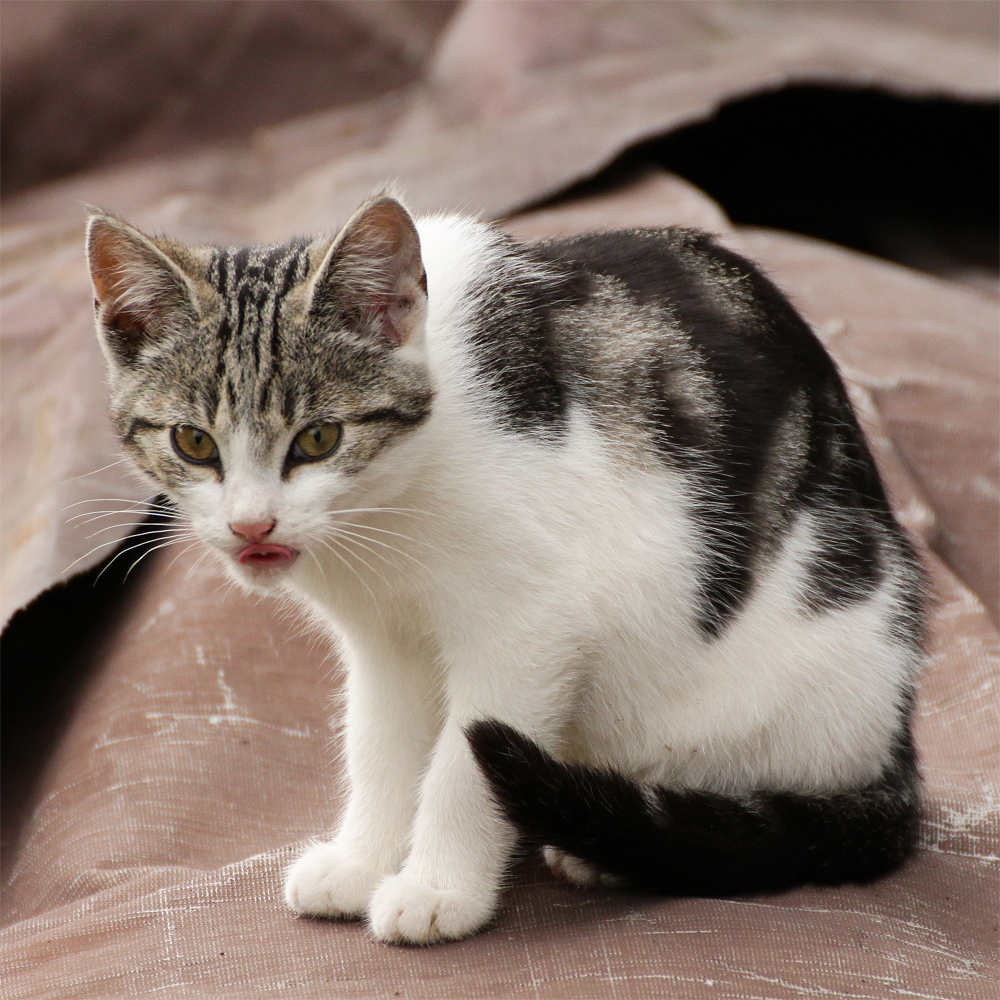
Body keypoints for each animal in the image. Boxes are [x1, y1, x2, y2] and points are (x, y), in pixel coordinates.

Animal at [84, 193, 920, 944]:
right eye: (193, 443)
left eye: (319, 438)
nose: (251, 525)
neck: (388, 513)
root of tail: (898, 740)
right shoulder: (385, 643)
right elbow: (379, 741)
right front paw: (362, 862)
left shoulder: (531, 621)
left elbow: (465, 760)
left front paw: (436, 888)